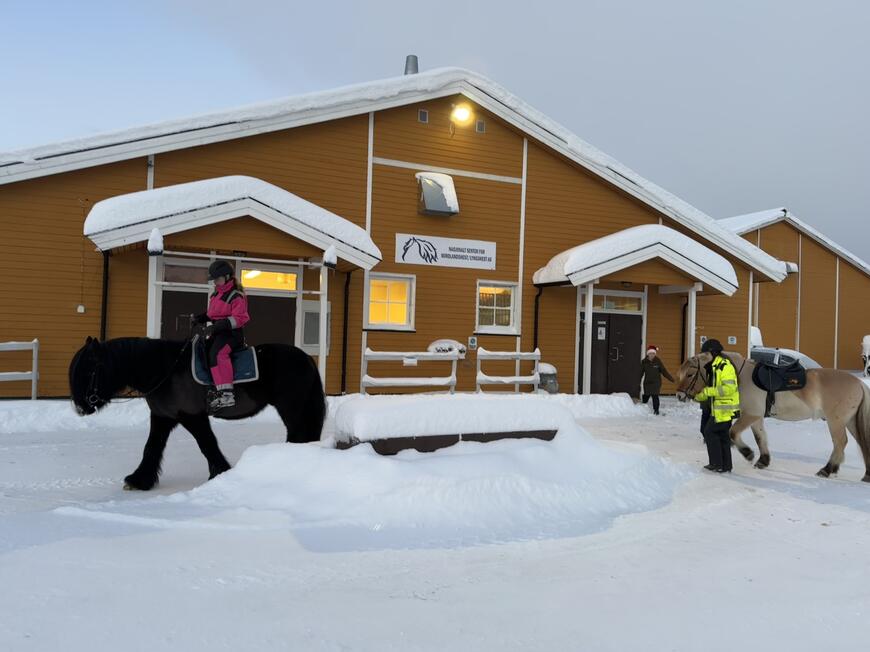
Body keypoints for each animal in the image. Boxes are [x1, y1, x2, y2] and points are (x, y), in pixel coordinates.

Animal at [69, 336, 328, 488]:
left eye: (89, 370)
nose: (81, 407)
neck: (164, 369)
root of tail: (306, 358)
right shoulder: (163, 417)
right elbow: (151, 447)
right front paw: (139, 479)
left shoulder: (192, 416)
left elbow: (207, 444)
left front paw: (220, 474)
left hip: (292, 408)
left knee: (298, 434)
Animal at [676, 352, 870, 484]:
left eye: (690, 374)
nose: (679, 395)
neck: (741, 376)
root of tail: (859, 383)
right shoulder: (757, 418)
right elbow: (760, 437)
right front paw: (763, 460)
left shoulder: (750, 415)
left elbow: (733, 433)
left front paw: (748, 453)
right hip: (849, 422)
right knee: (857, 443)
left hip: (835, 421)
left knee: (840, 442)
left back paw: (827, 469)